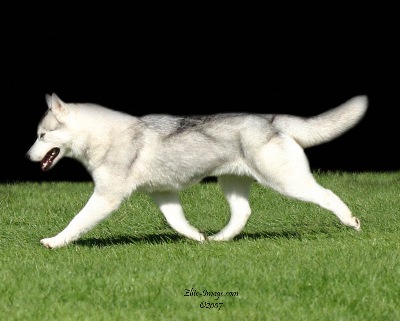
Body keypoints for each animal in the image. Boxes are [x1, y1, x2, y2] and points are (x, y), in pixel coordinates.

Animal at [26, 92, 368, 248]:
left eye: (42, 136)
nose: (28, 157)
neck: (99, 137)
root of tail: (270, 120)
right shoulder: (163, 194)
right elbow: (177, 222)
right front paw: (197, 237)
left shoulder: (106, 197)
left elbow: (77, 221)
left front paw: (55, 241)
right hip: (231, 184)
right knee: (242, 213)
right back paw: (219, 239)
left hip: (286, 182)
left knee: (327, 194)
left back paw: (350, 221)